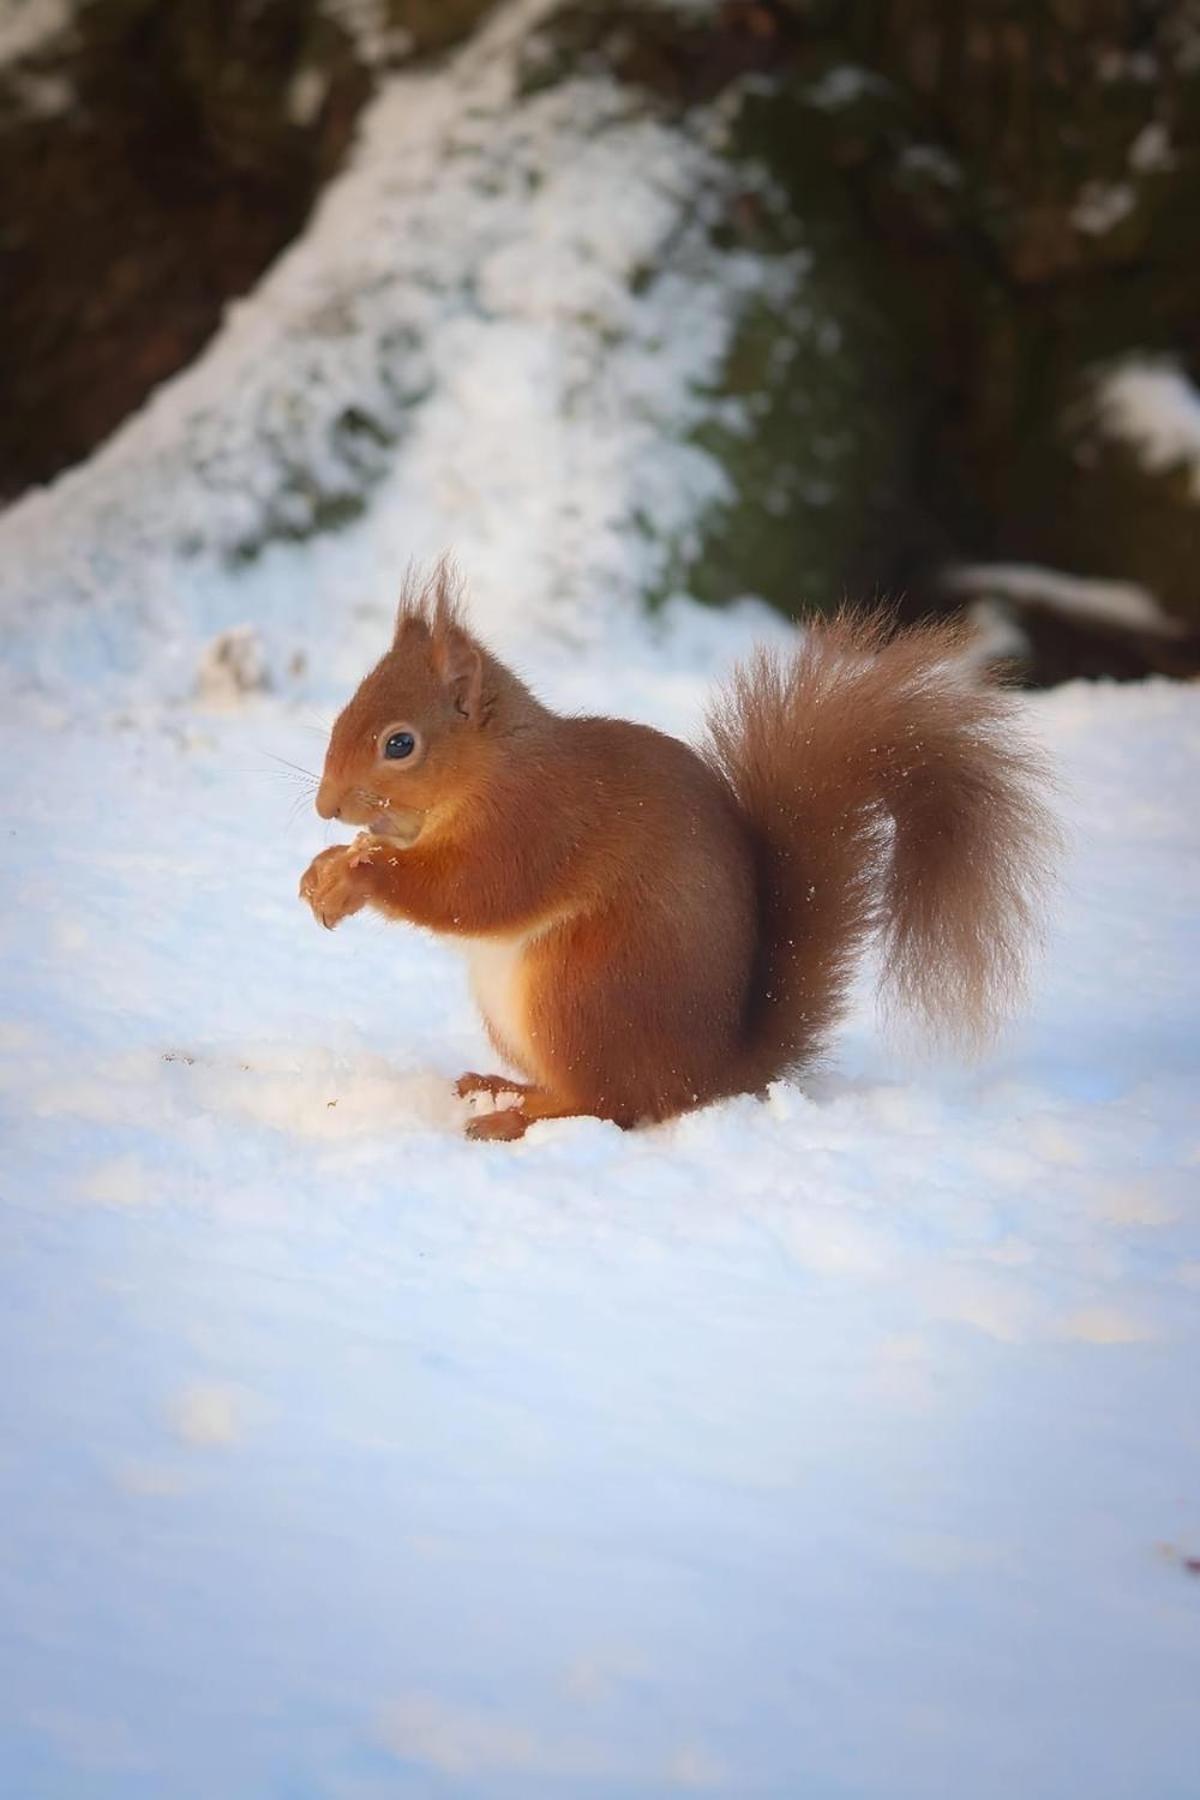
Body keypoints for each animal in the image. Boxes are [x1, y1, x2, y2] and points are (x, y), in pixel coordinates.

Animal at [300, 565, 1050, 1137]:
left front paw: (361, 874)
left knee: (611, 1104)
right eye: (342, 713)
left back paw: (519, 1118)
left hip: (582, 989)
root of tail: (704, 1075)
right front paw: (326, 868)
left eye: (400, 743)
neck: (491, 765)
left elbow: (473, 892)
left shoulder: (536, 820)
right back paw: (506, 1088)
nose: (326, 807)